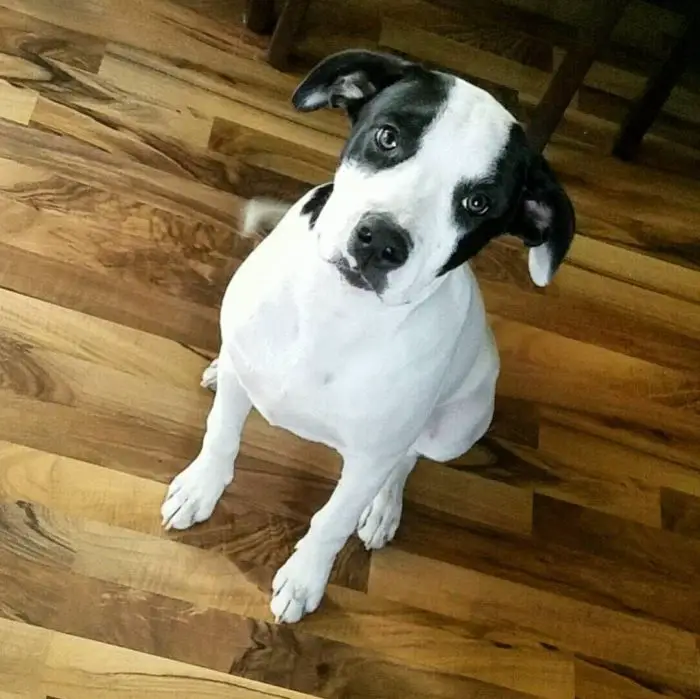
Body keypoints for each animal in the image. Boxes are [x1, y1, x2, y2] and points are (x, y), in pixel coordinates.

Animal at [161, 52, 576, 628]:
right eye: (386, 137)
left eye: (477, 202)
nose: (380, 241)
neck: (337, 312)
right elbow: (221, 434)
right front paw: (201, 488)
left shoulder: (368, 459)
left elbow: (332, 520)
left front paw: (304, 579)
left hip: (455, 429)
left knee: (409, 458)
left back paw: (384, 508)